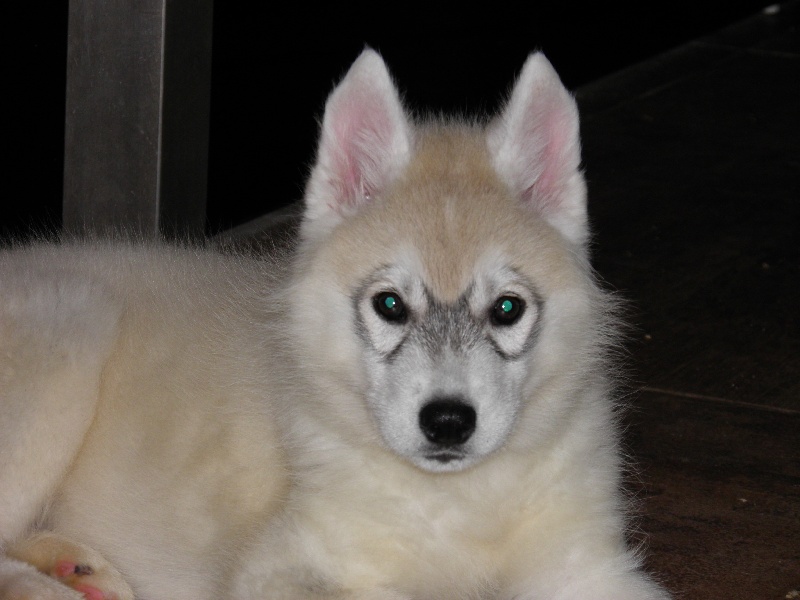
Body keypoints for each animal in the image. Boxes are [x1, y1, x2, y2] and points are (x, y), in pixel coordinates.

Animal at [0, 50, 670, 599]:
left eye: (507, 309)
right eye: (389, 305)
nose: (448, 423)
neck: (457, 499)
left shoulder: (586, 566)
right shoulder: (285, 563)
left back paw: (79, 569)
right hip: (70, 325)